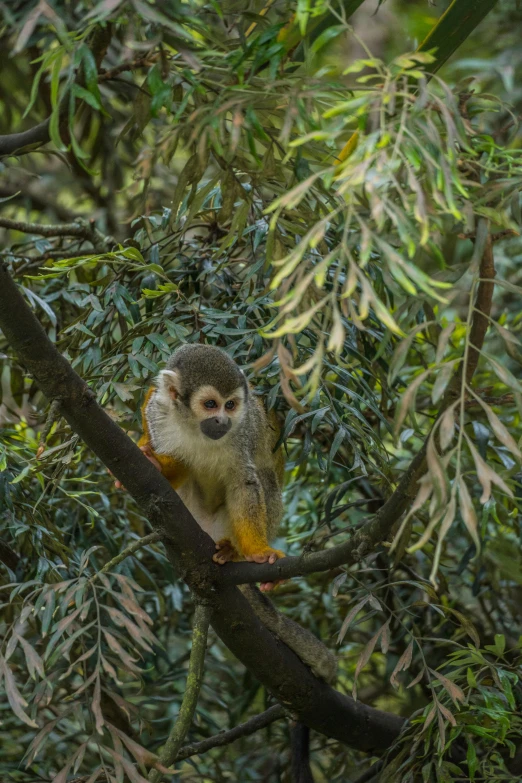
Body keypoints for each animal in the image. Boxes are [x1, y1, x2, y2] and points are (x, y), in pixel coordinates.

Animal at [138, 346, 284, 592]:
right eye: (210, 405)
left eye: (230, 405)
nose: (222, 421)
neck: (195, 426)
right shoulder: (158, 415)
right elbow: (179, 465)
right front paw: (156, 464)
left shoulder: (243, 427)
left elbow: (243, 483)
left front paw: (259, 552)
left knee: (264, 477)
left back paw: (232, 551)